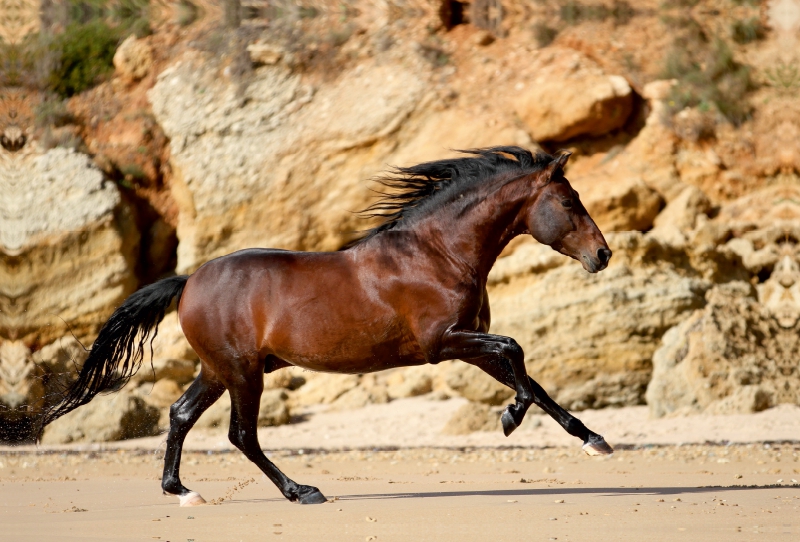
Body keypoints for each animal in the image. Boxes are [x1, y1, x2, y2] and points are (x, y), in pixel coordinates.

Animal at [39, 146, 612, 510]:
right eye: (568, 202)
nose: (602, 255)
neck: (437, 253)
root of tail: (189, 281)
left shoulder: (467, 343)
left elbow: (530, 378)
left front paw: (592, 439)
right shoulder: (444, 342)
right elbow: (516, 353)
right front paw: (511, 419)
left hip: (219, 370)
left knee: (180, 415)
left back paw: (182, 491)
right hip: (243, 373)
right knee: (242, 434)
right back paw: (302, 492)